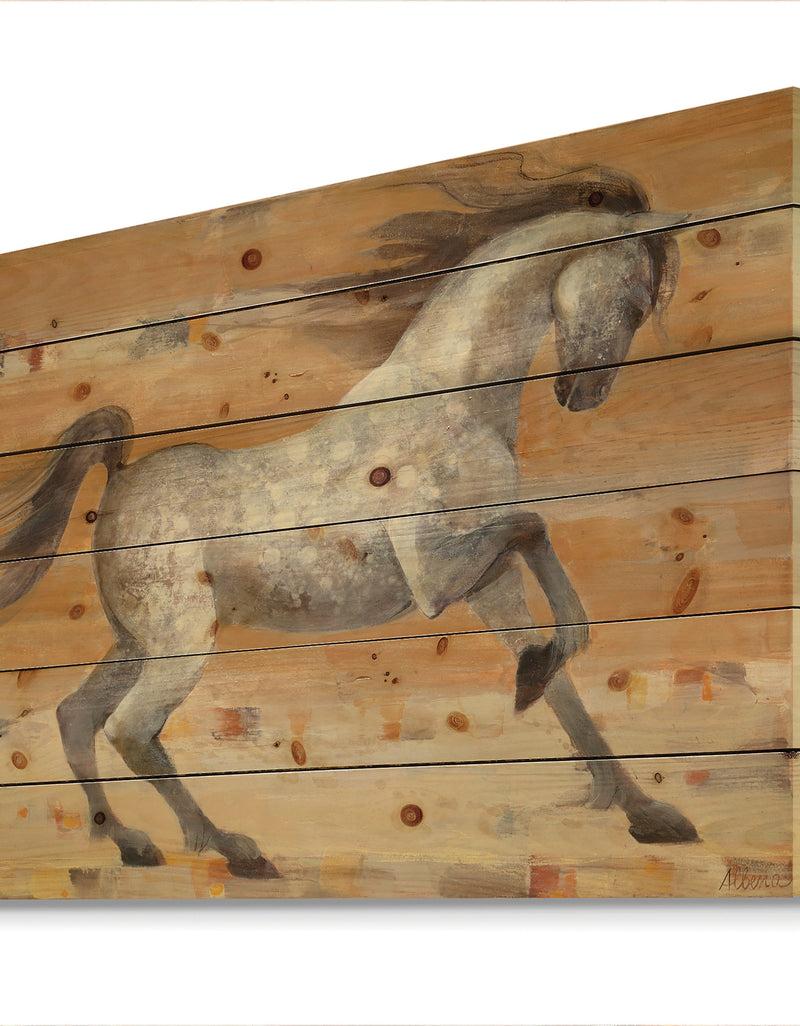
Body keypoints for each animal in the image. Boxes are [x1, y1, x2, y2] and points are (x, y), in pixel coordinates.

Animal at [0, 204, 699, 880]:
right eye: (636, 297)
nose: (585, 395)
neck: (453, 395)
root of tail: (120, 478)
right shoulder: (436, 577)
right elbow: (537, 532)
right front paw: (545, 673)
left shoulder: (489, 585)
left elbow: (563, 681)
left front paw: (648, 814)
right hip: (181, 643)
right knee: (130, 730)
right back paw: (234, 850)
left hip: (136, 643)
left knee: (75, 717)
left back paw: (131, 844)